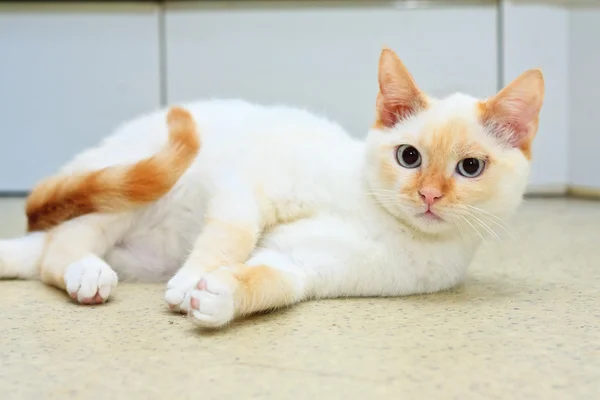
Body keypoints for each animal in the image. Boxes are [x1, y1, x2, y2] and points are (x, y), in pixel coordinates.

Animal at [0, 47, 544, 328]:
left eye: (470, 167)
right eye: (408, 157)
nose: (429, 196)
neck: (383, 220)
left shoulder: (304, 266)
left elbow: (271, 281)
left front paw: (217, 296)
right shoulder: (248, 187)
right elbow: (231, 236)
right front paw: (190, 279)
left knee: (45, 256)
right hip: (136, 184)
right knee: (62, 247)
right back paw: (88, 272)